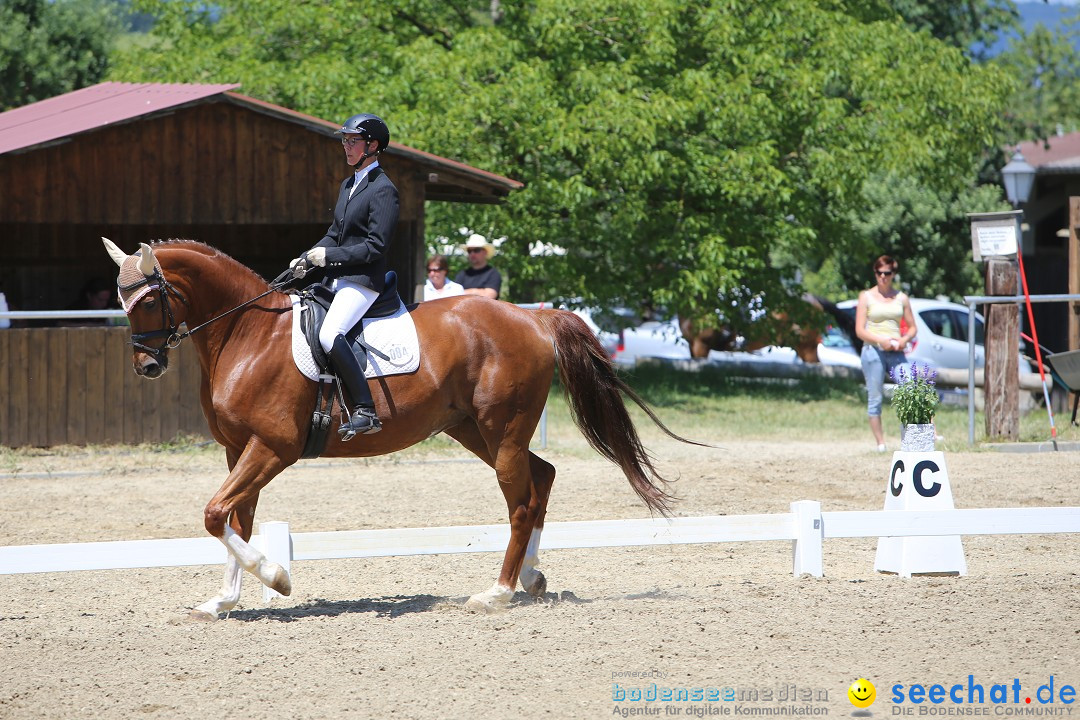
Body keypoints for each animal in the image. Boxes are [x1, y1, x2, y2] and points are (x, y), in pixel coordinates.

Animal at [105, 240, 695, 621]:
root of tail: (532, 316)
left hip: (501, 429)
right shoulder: (238, 451)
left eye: (150, 299)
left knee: (522, 501)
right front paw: (222, 603)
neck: (248, 334)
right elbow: (235, 520)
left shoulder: (272, 448)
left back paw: (497, 593)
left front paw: (278, 579)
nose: (147, 366)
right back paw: (531, 580)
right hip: (473, 430)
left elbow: (215, 515)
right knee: (542, 478)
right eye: (121, 300)